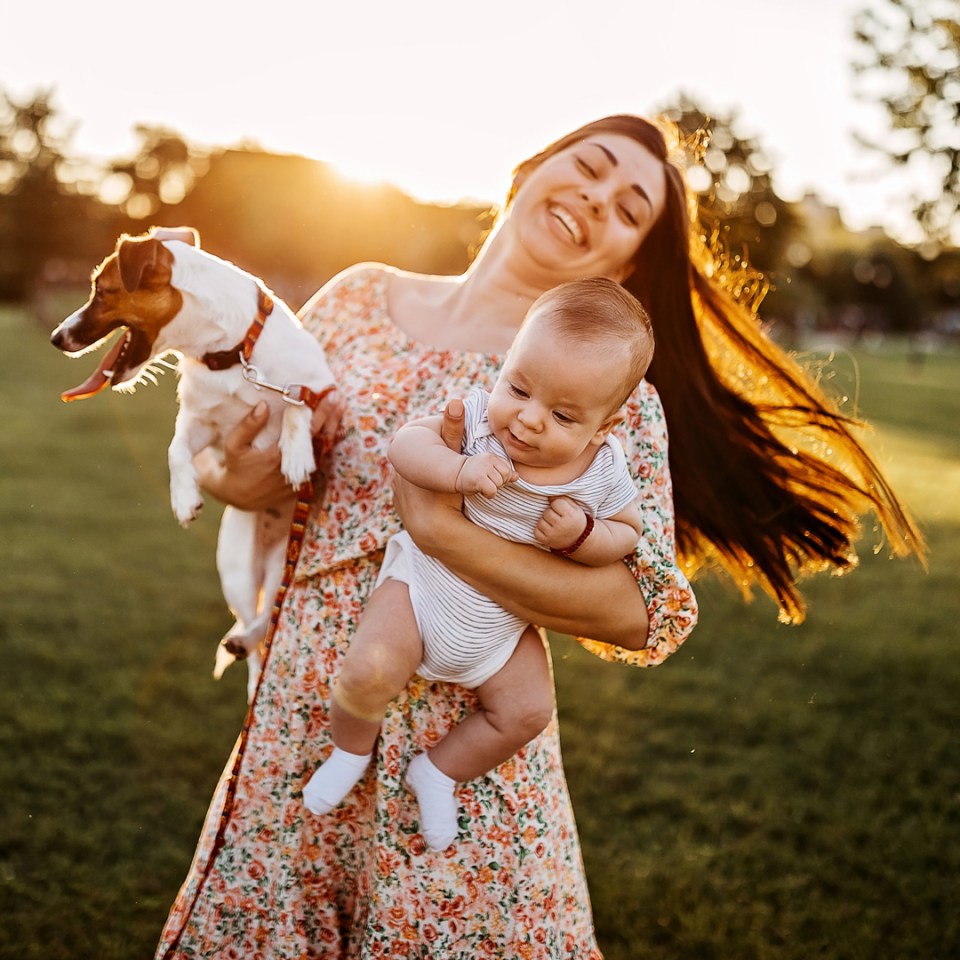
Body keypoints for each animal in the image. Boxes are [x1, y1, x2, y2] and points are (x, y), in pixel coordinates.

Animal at [52, 229, 340, 700]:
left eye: (102, 291)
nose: (56, 337)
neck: (232, 354)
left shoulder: (325, 393)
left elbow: (298, 406)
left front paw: (297, 454)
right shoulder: (203, 425)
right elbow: (175, 450)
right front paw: (184, 499)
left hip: (286, 562)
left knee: (267, 615)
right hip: (239, 570)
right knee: (256, 626)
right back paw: (244, 652)